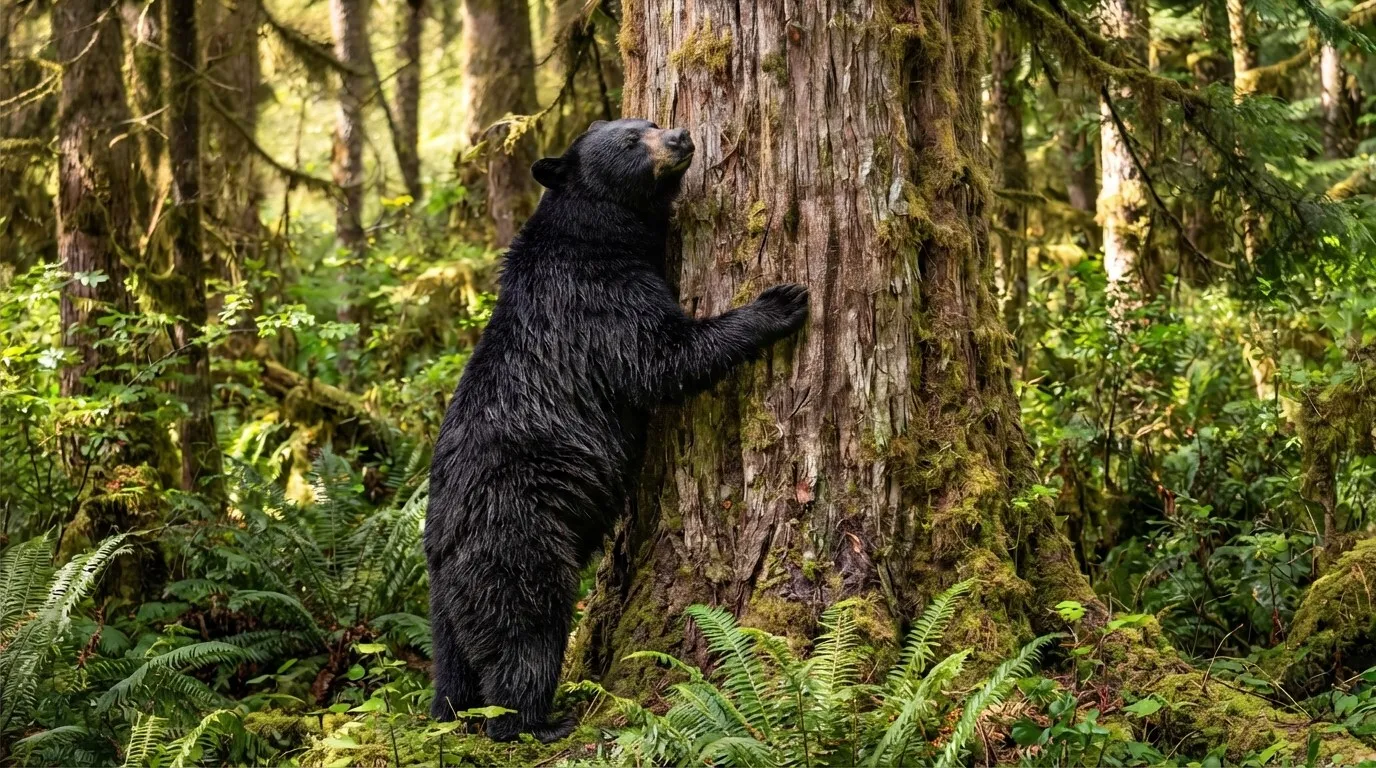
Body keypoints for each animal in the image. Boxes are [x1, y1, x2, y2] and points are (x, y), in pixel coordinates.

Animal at [424, 118, 809, 742]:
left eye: (648, 122)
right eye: (631, 140)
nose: (680, 136)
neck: (600, 233)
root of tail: (443, 544)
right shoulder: (598, 298)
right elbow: (662, 357)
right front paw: (779, 302)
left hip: (448, 598)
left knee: (452, 657)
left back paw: (451, 708)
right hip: (517, 540)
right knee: (526, 631)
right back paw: (535, 721)